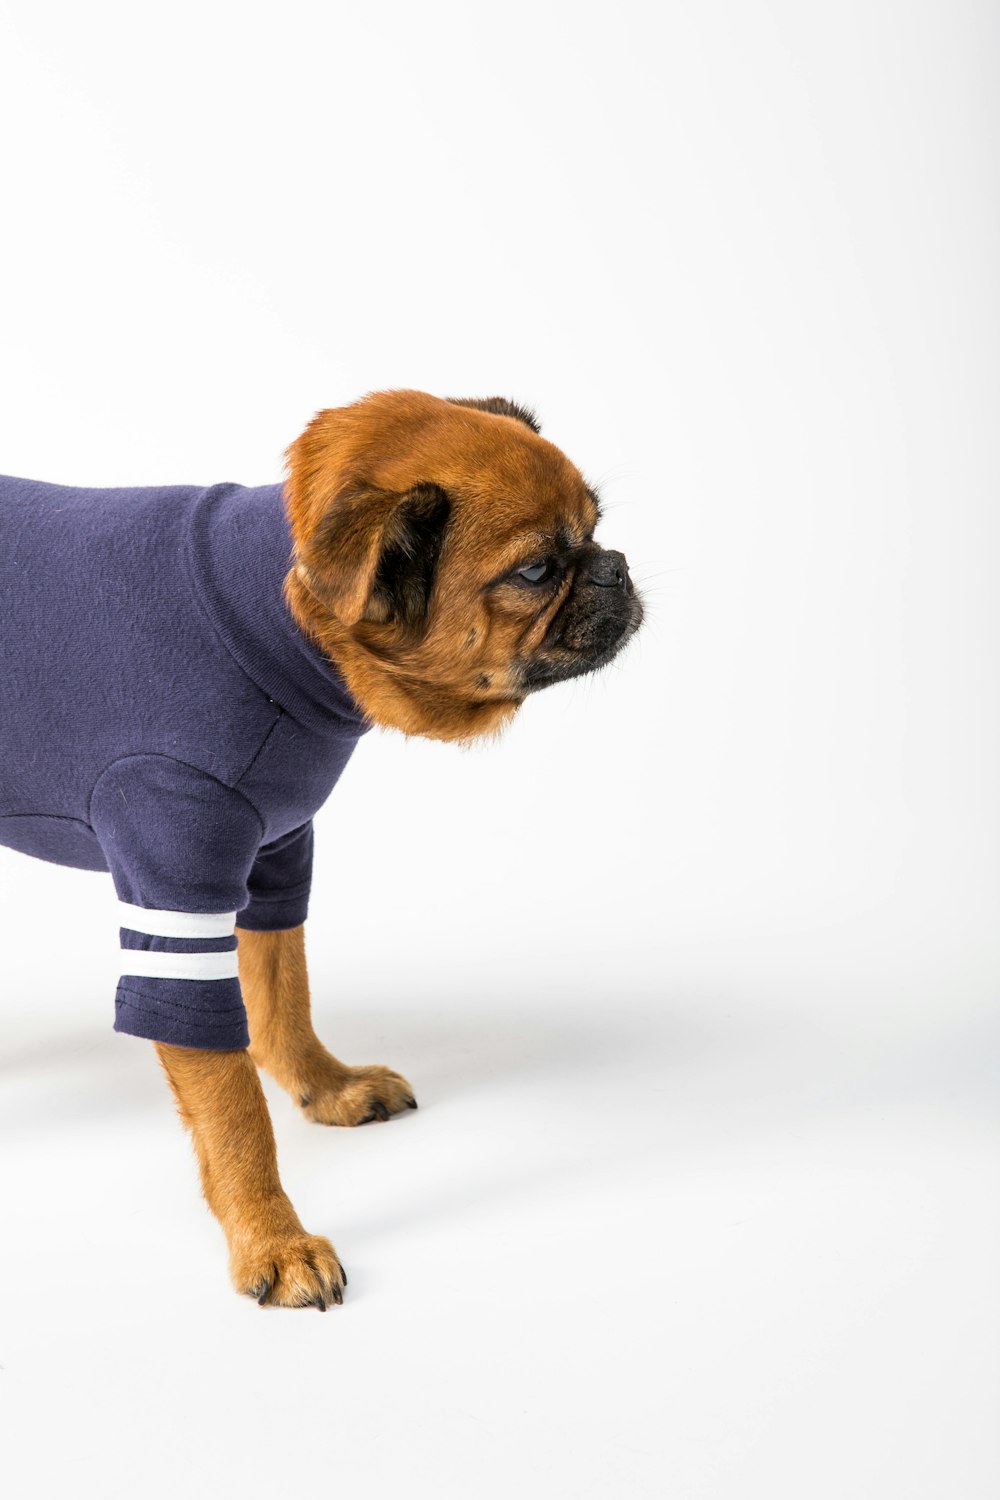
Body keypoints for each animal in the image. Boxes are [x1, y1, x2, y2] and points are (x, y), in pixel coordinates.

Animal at [0, 390, 641, 1314]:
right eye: (534, 572)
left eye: (596, 531)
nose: (615, 566)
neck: (280, 631)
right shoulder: (179, 894)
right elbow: (233, 1105)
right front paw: (272, 1236)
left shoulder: (273, 857)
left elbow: (282, 994)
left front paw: (321, 1085)